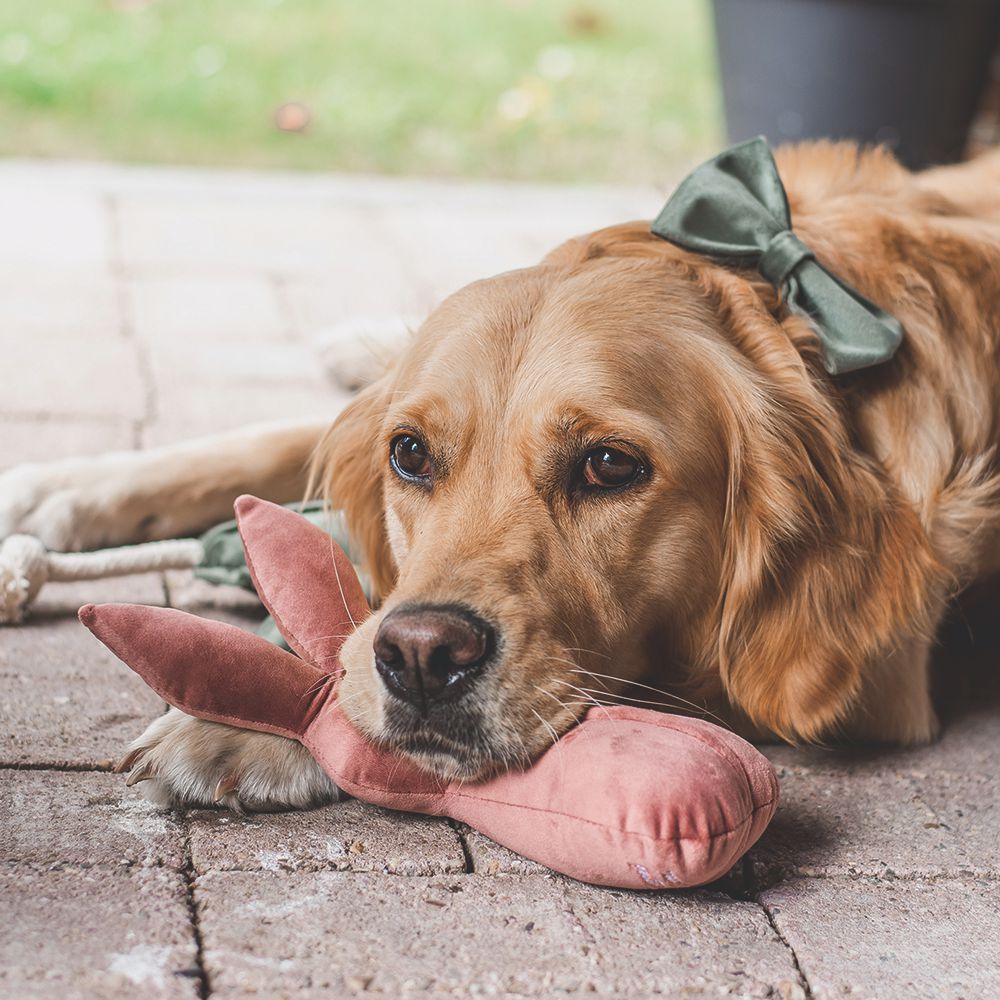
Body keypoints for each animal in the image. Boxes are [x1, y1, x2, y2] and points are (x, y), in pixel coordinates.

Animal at [1, 143, 1000, 812]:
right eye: (410, 454)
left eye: (609, 465)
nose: (420, 658)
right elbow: (270, 444)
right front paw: (59, 488)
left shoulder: (870, 689)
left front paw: (245, 722)